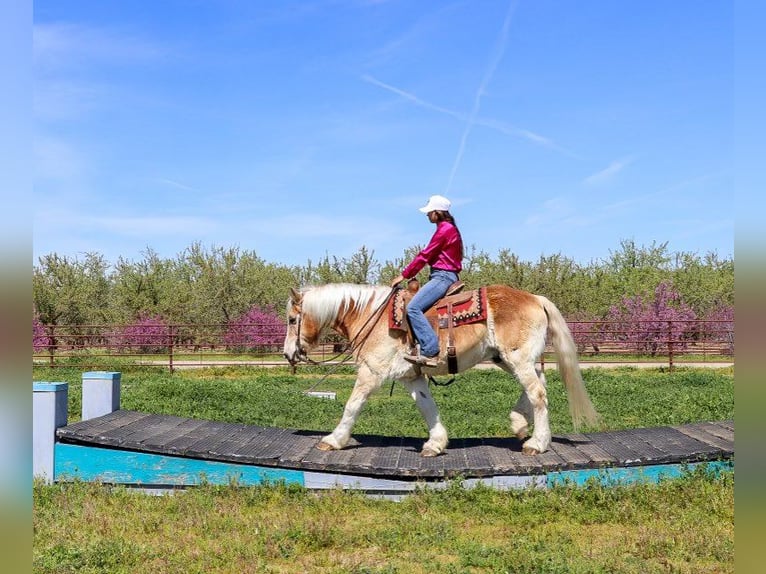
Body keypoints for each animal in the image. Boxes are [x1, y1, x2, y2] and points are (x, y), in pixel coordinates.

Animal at [284, 284, 604, 460]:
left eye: (291, 319)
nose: (288, 354)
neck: (370, 315)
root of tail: (535, 298)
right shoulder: (410, 376)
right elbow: (428, 407)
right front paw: (436, 444)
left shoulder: (371, 373)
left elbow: (351, 405)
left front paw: (333, 440)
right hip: (507, 358)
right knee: (538, 384)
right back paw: (519, 423)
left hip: (518, 358)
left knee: (537, 392)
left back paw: (537, 443)